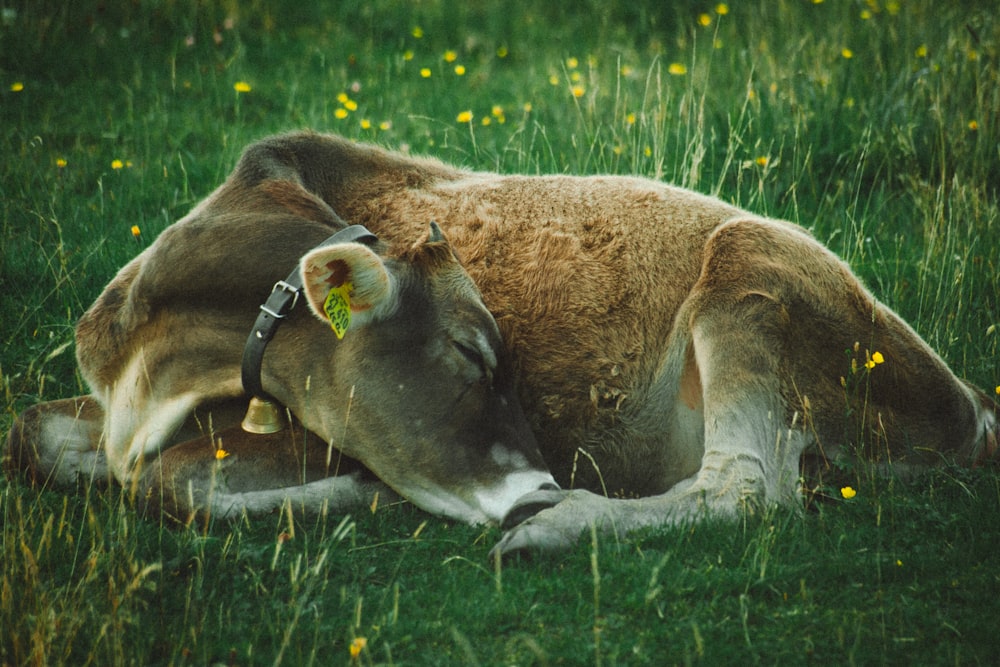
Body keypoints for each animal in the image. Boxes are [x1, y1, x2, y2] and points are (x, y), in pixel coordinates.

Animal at [3, 133, 996, 556]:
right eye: (477, 355)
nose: (542, 484)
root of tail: (972, 408)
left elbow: (167, 483)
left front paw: (364, 496)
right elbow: (31, 432)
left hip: (749, 272)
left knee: (744, 489)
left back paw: (559, 528)